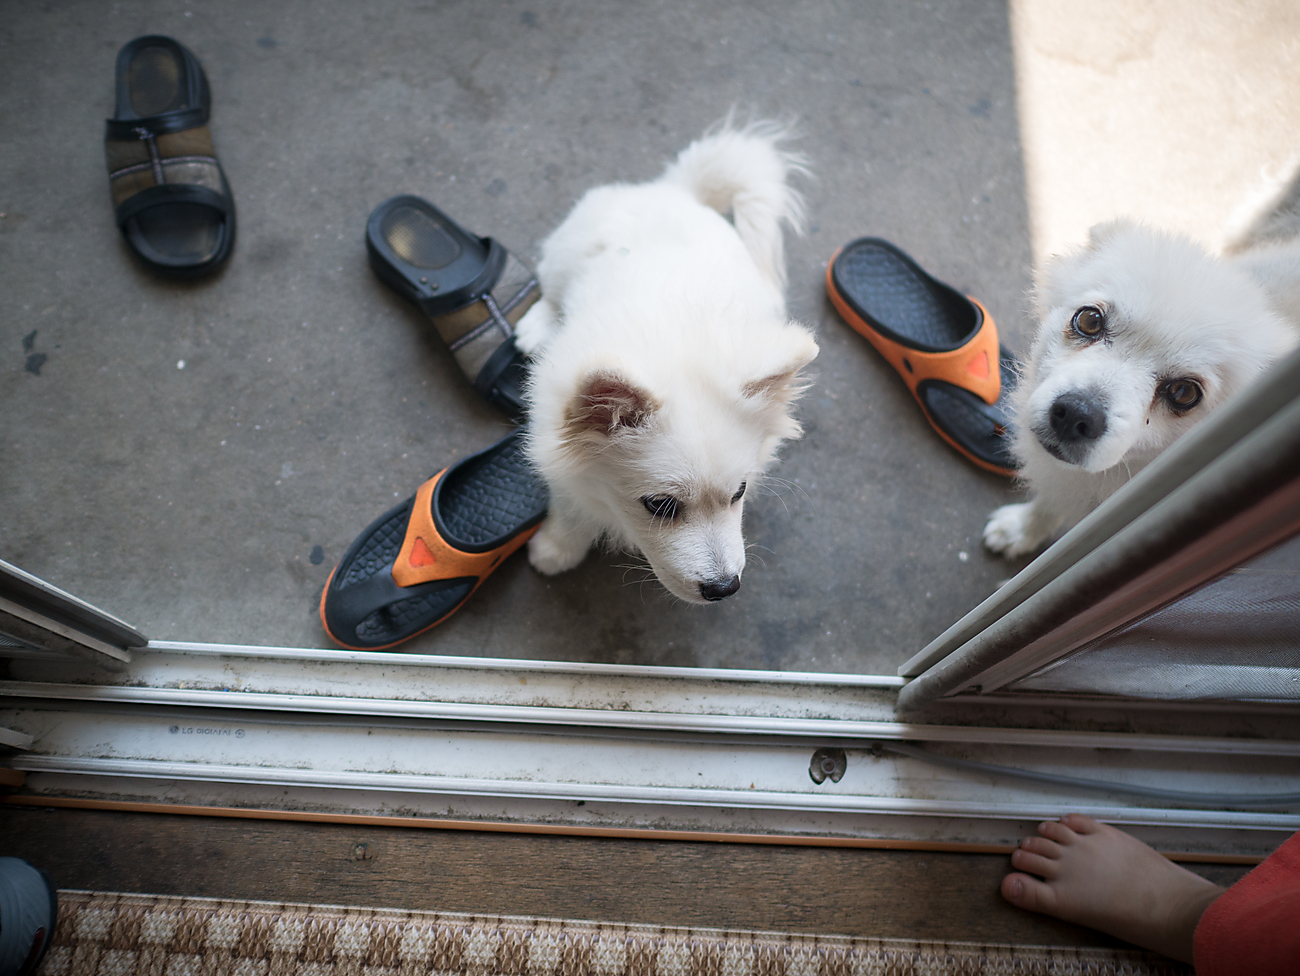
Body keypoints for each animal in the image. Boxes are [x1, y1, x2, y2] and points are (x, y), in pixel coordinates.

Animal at [513, 120, 819, 604]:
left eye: (740, 492)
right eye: (660, 505)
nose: (724, 588)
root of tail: (678, 191)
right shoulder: (557, 453)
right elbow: (573, 510)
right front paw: (558, 550)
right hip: (565, 253)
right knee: (550, 286)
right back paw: (537, 324)